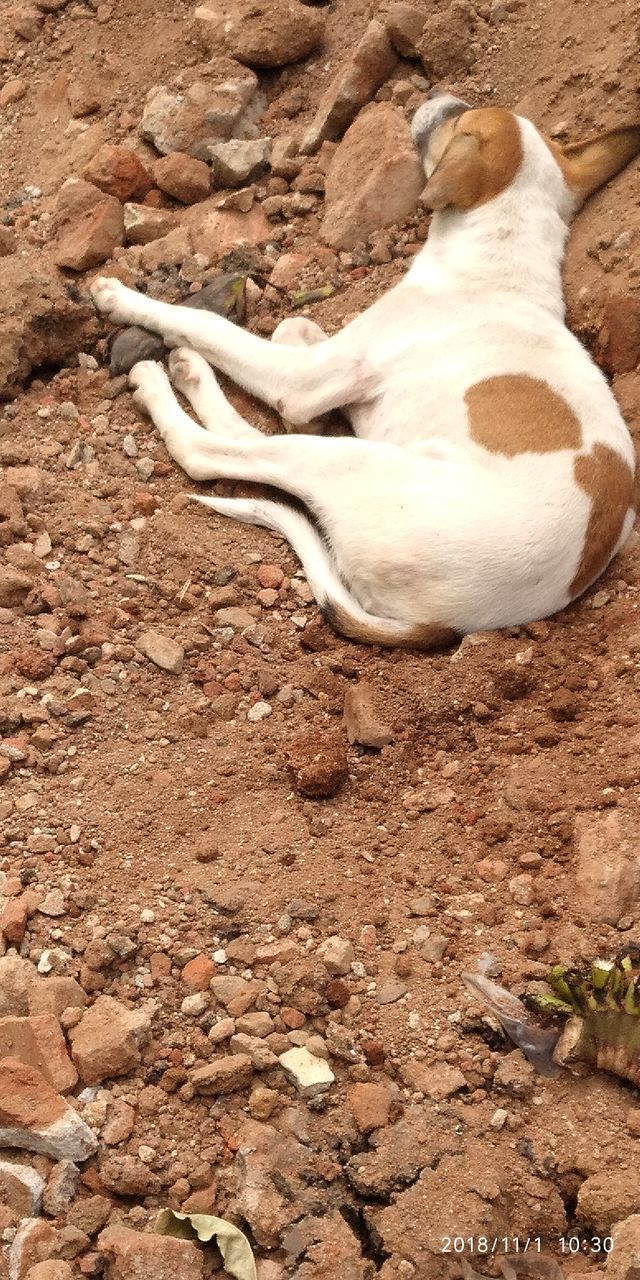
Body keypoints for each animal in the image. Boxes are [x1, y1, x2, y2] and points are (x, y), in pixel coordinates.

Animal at [90, 93, 640, 650]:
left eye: (456, 118)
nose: (445, 98)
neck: (496, 269)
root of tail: (448, 622)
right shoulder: (315, 372)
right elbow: (292, 324)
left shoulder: (300, 383)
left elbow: (203, 321)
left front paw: (121, 297)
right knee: (252, 437)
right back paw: (191, 372)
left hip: (350, 463)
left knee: (209, 451)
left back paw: (162, 380)